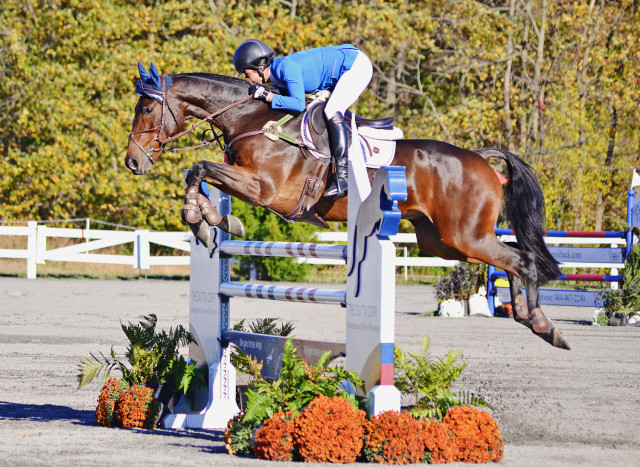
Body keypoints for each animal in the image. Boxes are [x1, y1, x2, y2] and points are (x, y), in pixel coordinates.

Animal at [125, 67, 568, 350]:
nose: (132, 162)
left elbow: (199, 168)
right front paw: (208, 220)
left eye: (146, 109)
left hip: (464, 235)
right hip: (444, 243)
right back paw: (527, 316)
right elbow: (198, 174)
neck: (253, 118)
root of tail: (480, 158)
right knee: (513, 257)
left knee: (521, 260)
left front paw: (207, 219)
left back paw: (545, 325)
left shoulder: (266, 189)